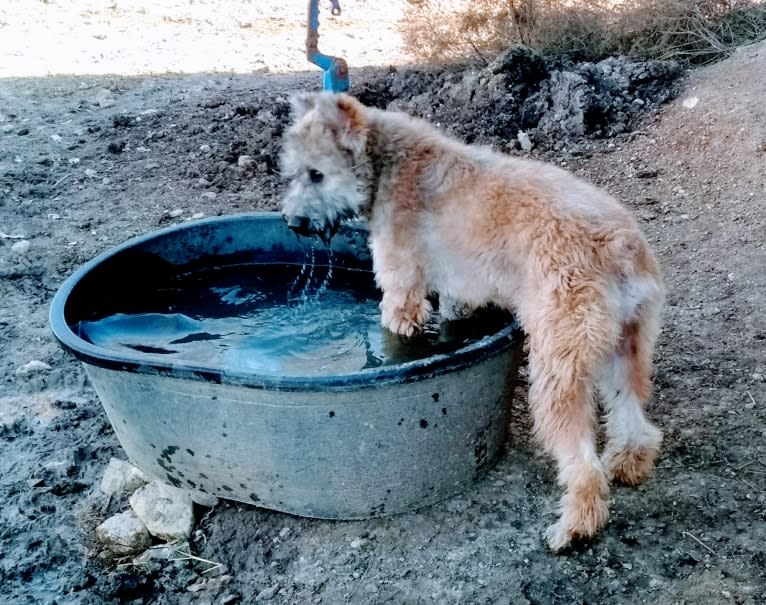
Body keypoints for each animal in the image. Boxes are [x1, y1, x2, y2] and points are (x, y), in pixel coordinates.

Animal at [282, 92, 664, 548]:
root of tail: (620, 246)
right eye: (293, 173)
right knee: (634, 419)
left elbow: (398, 324)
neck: (387, 162)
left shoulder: (402, 286)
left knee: (583, 464)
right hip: (624, 348)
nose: (292, 222)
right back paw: (627, 462)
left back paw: (575, 525)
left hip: (559, 367)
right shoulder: (457, 291)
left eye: (317, 174)